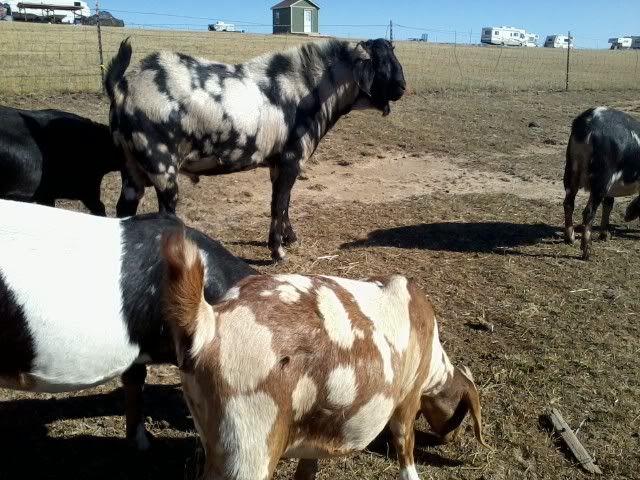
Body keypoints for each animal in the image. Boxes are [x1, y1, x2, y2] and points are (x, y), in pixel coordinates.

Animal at [105, 37, 406, 261]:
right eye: (382, 62)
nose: (402, 88)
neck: (307, 88)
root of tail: (122, 88)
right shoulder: (290, 160)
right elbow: (279, 203)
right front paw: (278, 251)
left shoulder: (277, 165)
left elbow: (283, 203)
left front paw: (289, 238)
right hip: (161, 166)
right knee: (165, 214)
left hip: (131, 169)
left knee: (124, 210)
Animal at [162, 231, 488, 480]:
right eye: (462, 412)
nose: (451, 440)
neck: (434, 365)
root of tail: (208, 324)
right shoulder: (408, 397)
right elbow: (404, 448)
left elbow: (307, 470)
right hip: (248, 447)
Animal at [564, 107, 640, 259]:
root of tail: (588, 123)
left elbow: (609, 204)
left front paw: (605, 235)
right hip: (601, 178)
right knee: (588, 212)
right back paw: (587, 252)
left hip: (571, 172)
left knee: (568, 203)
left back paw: (571, 238)